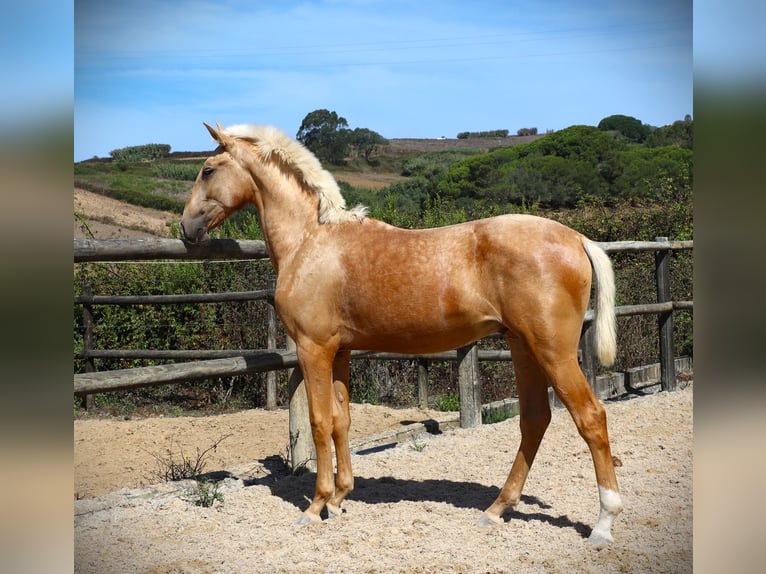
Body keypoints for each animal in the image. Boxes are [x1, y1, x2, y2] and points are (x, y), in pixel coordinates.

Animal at [184, 121, 624, 544]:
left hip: (553, 351)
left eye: (208, 169)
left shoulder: (314, 349)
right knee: (534, 419)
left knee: (590, 418)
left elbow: (319, 422)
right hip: (523, 346)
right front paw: (341, 498)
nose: (187, 228)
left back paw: (603, 523)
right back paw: (497, 508)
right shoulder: (341, 352)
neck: (311, 239)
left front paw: (317, 505)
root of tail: (577, 238)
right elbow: (342, 419)